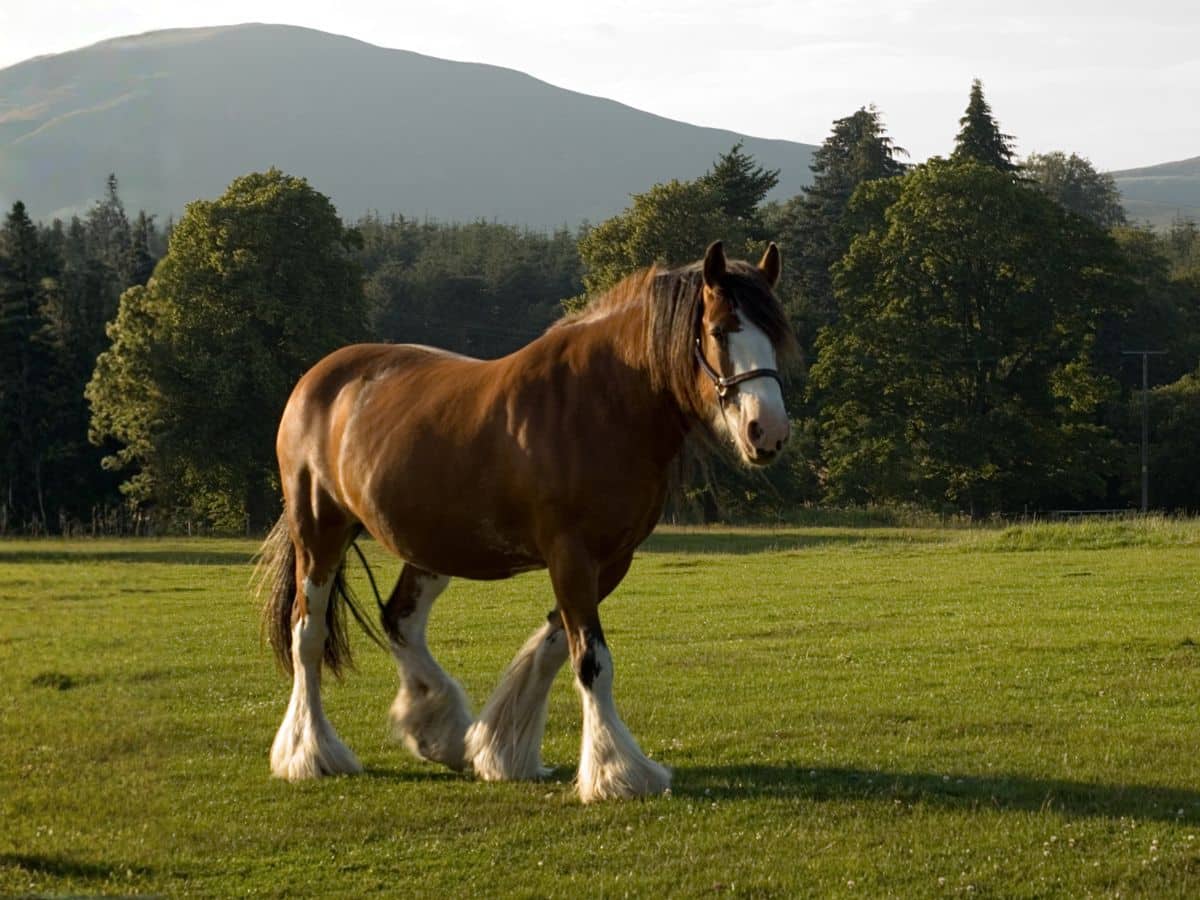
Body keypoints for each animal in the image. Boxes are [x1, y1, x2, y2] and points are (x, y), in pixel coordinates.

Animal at [255, 240, 795, 802]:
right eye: (719, 330)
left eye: (777, 334)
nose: (767, 431)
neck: (601, 403)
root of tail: (316, 379)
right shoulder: (570, 555)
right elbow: (591, 661)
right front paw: (616, 772)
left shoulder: (609, 561)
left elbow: (557, 645)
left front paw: (502, 747)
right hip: (320, 535)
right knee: (307, 634)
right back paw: (311, 753)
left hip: (430, 547)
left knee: (400, 620)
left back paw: (439, 729)